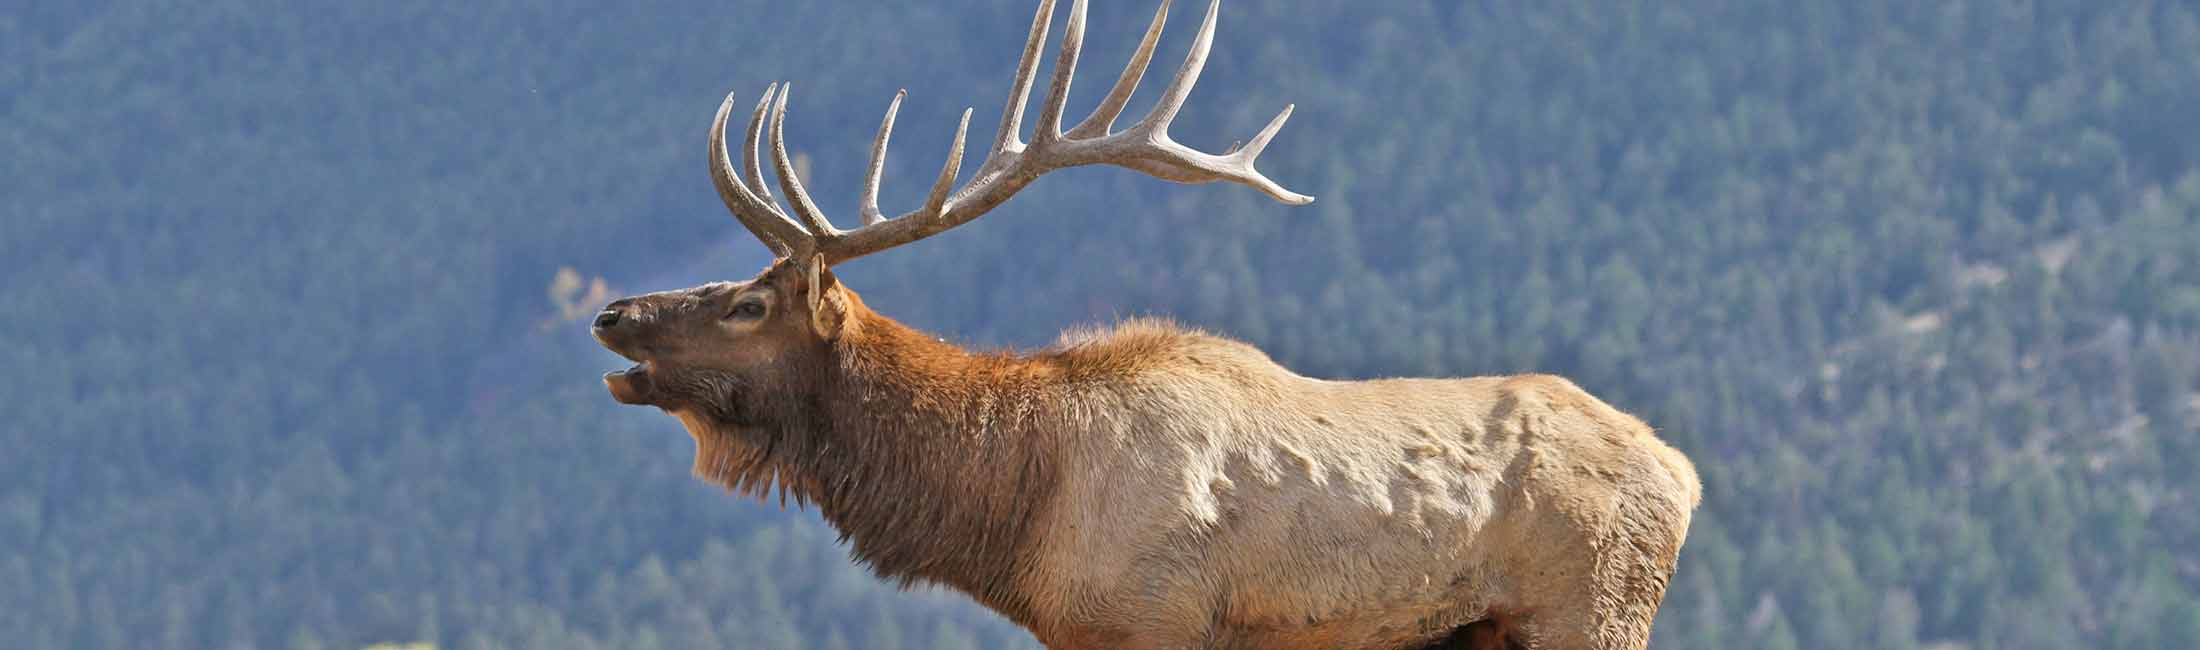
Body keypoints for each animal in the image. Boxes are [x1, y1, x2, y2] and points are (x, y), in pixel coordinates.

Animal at [590, 1, 1701, 648]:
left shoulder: (1154, 616)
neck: (1014, 512)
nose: (611, 312)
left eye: (748, 304)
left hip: (1590, 608)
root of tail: (1682, 470)